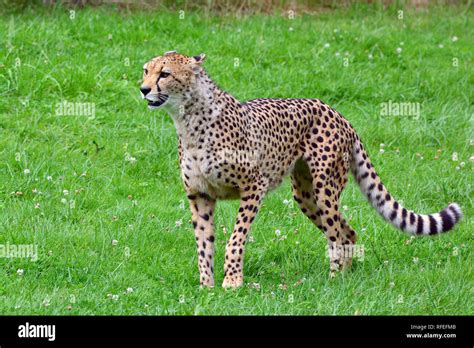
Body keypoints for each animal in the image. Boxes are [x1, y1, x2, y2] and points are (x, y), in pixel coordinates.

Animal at [140, 49, 462, 288]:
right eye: (145, 71)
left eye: (164, 74)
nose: (143, 89)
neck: (188, 119)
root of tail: (338, 113)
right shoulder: (200, 195)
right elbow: (203, 243)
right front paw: (206, 287)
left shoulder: (254, 186)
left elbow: (236, 238)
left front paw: (232, 281)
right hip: (305, 195)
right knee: (347, 231)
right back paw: (346, 274)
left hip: (325, 188)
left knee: (336, 233)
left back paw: (334, 281)